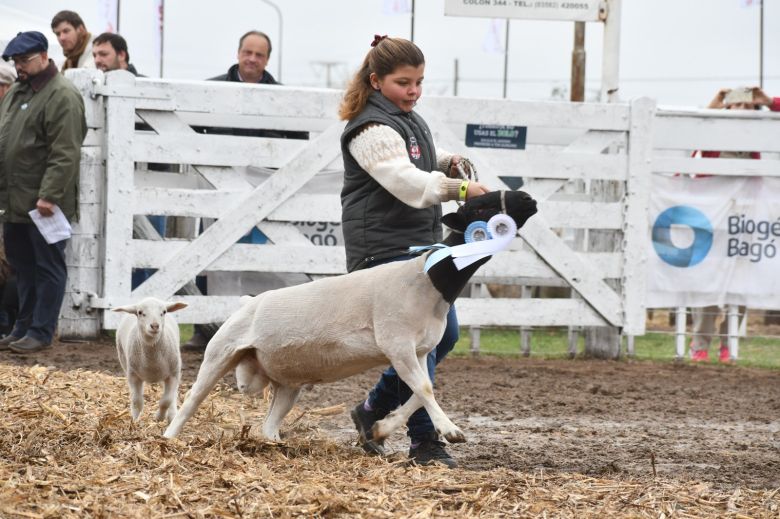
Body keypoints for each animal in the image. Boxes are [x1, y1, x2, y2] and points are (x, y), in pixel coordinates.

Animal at [160, 191, 536, 442]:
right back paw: (168, 438)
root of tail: (246, 302)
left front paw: (381, 429)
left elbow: (419, 393)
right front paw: (450, 430)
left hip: (288, 383)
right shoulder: (397, 343)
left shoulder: (420, 350)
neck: (429, 278)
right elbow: (424, 389)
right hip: (220, 353)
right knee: (192, 399)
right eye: (482, 206)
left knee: (269, 425)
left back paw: (275, 446)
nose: (528, 198)